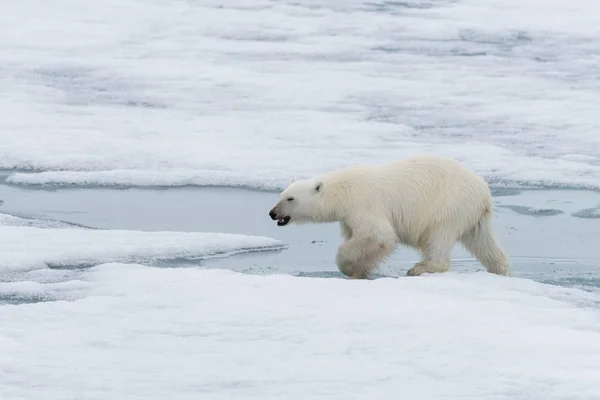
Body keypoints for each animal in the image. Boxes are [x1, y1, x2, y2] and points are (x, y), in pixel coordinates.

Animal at [270, 155, 508, 280]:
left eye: (290, 198)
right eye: (280, 195)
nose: (273, 213)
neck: (341, 192)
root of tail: (484, 193)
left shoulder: (363, 206)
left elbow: (378, 236)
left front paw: (349, 268)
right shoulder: (348, 218)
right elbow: (360, 240)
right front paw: (362, 269)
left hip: (448, 206)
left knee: (437, 236)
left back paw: (419, 268)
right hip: (472, 214)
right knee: (483, 242)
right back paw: (500, 269)